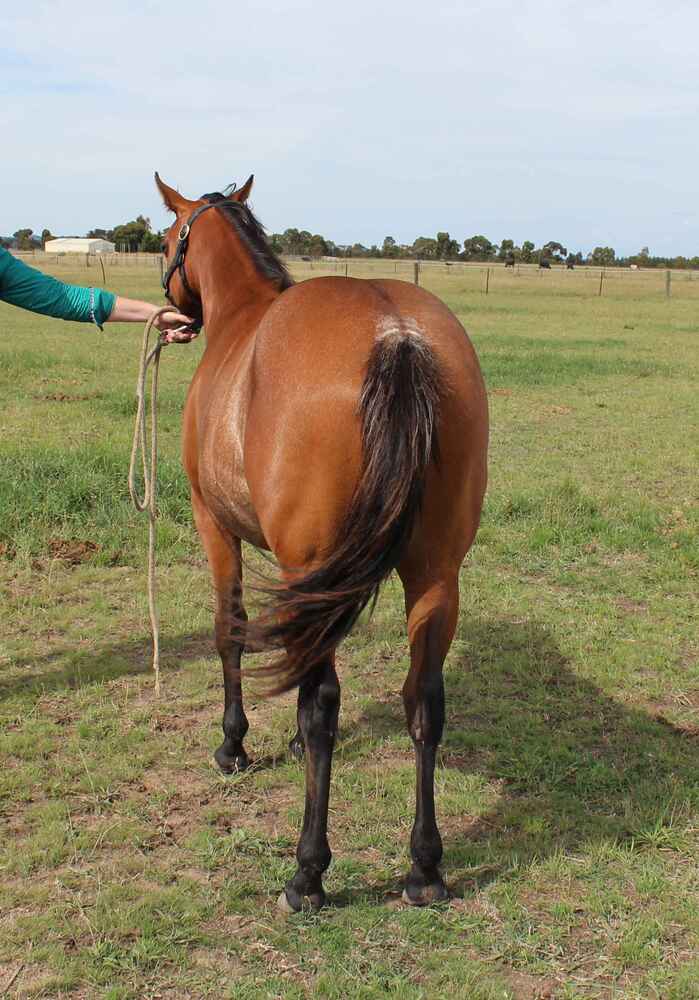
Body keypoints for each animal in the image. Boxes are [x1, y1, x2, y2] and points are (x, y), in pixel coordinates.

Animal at [155, 173, 489, 911]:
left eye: (167, 241)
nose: (176, 318)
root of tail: (396, 333)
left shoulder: (213, 524)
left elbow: (229, 629)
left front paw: (233, 747)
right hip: (434, 575)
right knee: (424, 701)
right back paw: (424, 869)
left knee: (321, 708)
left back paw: (308, 872)